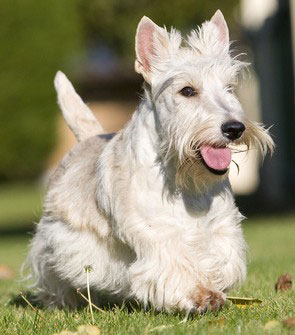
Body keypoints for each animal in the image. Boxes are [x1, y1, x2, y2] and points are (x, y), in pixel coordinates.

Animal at [28, 10, 276, 316]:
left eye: (229, 88)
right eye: (187, 91)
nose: (234, 128)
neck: (183, 179)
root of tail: (88, 138)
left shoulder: (221, 226)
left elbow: (223, 259)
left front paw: (213, 285)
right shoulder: (156, 231)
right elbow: (174, 265)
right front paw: (199, 295)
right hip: (56, 237)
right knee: (51, 269)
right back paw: (61, 300)